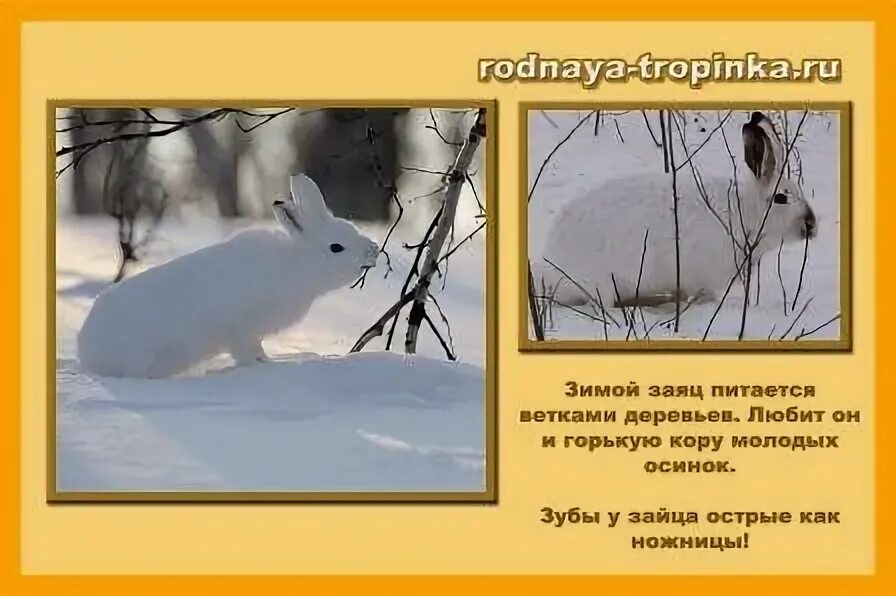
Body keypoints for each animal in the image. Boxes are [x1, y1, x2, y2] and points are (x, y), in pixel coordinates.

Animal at [76, 173, 380, 379]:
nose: (374, 250)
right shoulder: (243, 329)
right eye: (336, 247)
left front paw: (268, 363)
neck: (299, 263)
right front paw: (261, 368)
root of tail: (86, 348)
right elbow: (246, 353)